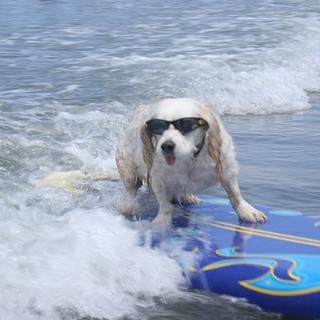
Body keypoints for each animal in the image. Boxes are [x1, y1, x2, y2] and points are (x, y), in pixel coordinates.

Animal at [116, 97, 266, 225]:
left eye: (186, 125)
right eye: (157, 127)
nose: (167, 146)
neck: (189, 159)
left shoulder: (226, 168)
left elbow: (235, 193)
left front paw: (246, 210)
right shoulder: (157, 178)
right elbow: (164, 204)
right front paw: (162, 222)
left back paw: (186, 196)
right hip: (127, 169)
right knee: (131, 191)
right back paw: (130, 206)